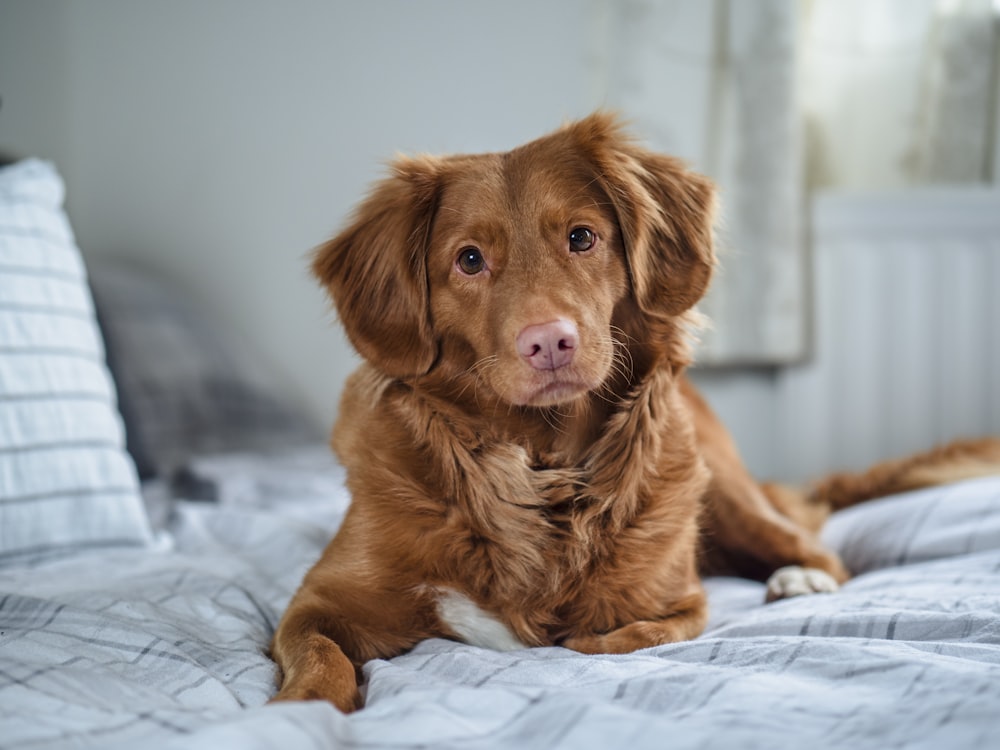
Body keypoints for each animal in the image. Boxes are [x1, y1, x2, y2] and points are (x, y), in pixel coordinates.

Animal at [270, 114, 1000, 712]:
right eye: (469, 260)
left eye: (582, 237)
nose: (550, 342)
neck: (541, 467)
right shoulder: (318, 603)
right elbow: (318, 657)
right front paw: (295, 713)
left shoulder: (676, 604)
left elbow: (606, 641)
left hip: (726, 490)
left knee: (819, 548)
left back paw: (798, 579)